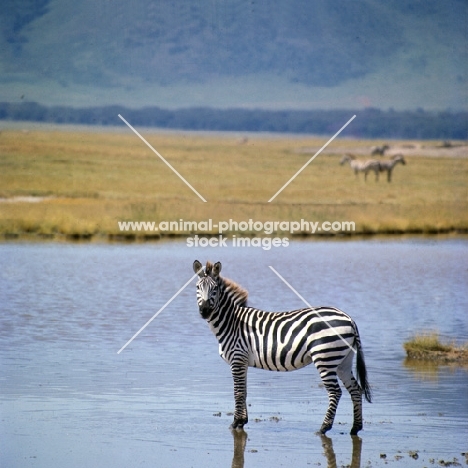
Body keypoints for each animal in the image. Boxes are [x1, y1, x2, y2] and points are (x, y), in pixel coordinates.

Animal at [192, 260, 372, 436]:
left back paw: (323, 428)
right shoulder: (242, 362)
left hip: (325, 358)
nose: (205, 311)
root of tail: (349, 319)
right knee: (356, 390)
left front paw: (236, 423)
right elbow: (244, 391)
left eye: (215, 289)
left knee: (336, 392)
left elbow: (238, 392)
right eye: (197, 287)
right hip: (343, 361)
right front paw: (242, 421)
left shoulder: (237, 358)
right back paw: (355, 428)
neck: (232, 322)